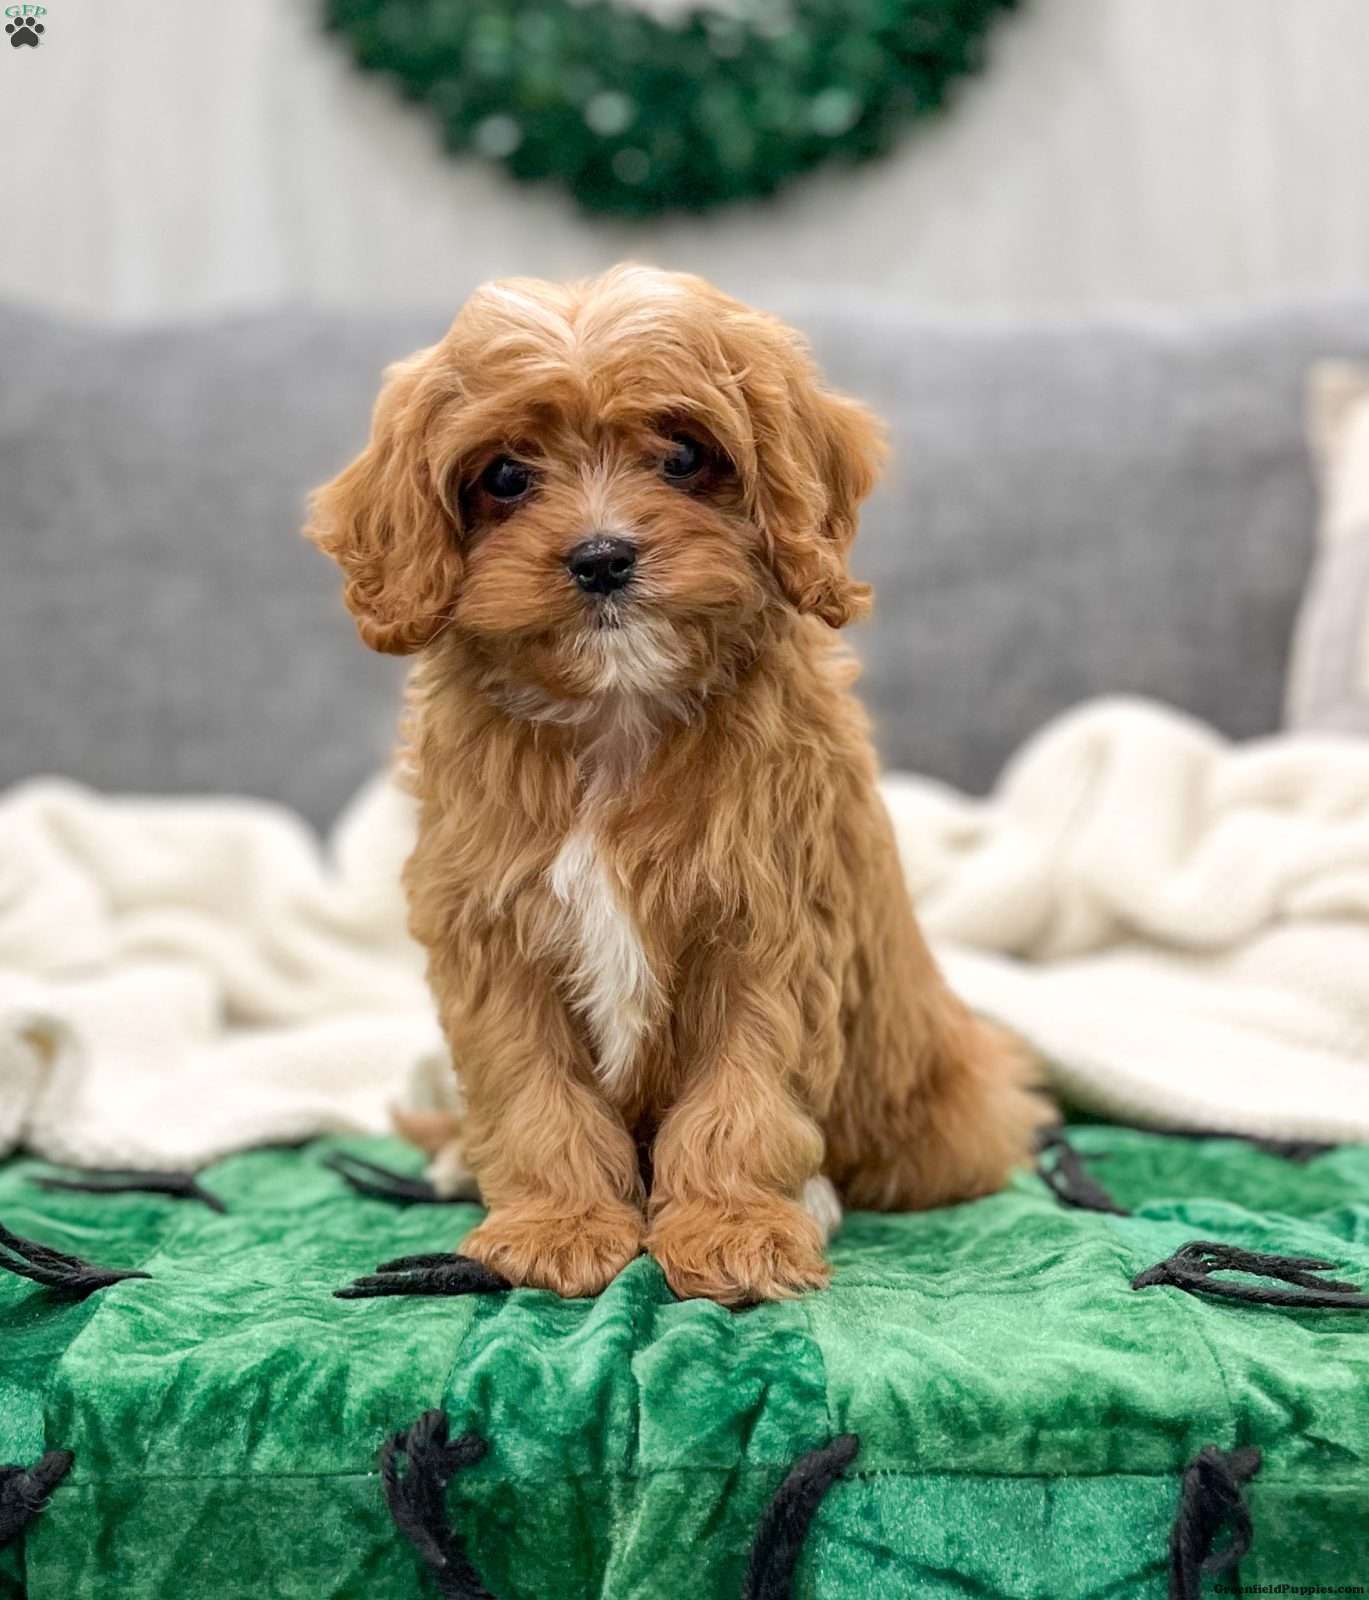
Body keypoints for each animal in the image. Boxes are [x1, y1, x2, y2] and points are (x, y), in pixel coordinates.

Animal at [305, 262, 1042, 1305]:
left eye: (685, 456)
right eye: (505, 476)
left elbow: (742, 1090)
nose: (602, 557)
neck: (618, 711)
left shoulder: (770, 928)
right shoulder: (493, 933)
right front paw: (558, 1223)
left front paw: (735, 1228)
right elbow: (532, 1088)